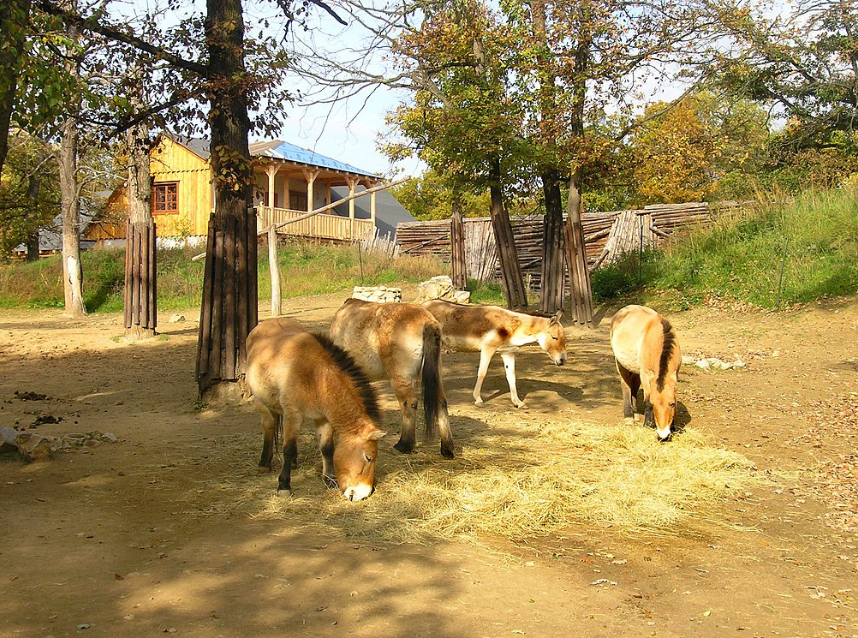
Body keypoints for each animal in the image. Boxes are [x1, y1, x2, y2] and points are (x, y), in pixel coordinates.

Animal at [244, 318, 384, 502]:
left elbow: (327, 448)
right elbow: (288, 448)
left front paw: (330, 480)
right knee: (269, 426)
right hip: (261, 403)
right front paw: (284, 485)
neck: (316, 376)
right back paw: (264, 463)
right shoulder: (293, 415)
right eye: (368, 457)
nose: (363, 494)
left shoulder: (324, 419)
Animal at [328, 300, 454, 460]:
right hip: (435, 375)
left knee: (409, 404)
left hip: (400, 378)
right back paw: (447, 448)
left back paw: (404, 445)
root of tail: (427, 320)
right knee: (441, 402)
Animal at [422, 302, 568, 410]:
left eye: (563, 337)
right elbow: (482, 373)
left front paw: (518, 402)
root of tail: (423, 304)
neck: (510, 326)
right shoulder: (488, 348)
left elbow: (511, 377)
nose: (563, 360)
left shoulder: (508, 353)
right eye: (554, 337)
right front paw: (478, 400)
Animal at [608, 308, 684, 442]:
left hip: (635, 370)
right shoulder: (645, 374)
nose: (663, 435)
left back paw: (635, 414)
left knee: (633, 386)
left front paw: (673, 427)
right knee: (626, 386)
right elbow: (647, 400)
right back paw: (629, 417)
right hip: (621, 365)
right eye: (654, 404)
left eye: (672, 404)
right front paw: (648, 425)